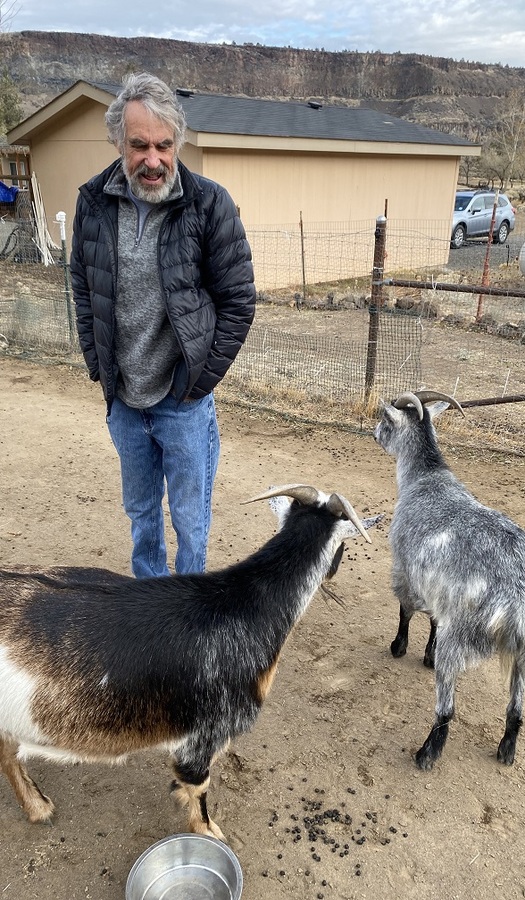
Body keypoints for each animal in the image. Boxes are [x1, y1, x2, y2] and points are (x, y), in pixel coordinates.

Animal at [0, 484, 380, 839]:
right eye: (344, 547)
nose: (333, 573)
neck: (243, 606)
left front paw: (178, 795)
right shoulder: (205, 733)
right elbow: (200, 785)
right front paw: (209, 830)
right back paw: (39, 808)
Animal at [375, 389, 525, 771]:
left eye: (385, 421)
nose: (373, 433)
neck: (426, 478)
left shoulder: (405, 568)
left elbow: (406, 610)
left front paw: (399, 647)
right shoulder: (439, 591)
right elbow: (431, 618)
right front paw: (425, 654)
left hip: (459, 638)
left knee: (446, 709)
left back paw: (427, 753)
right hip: (522, 652)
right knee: (516, 708)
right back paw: (506, 751)